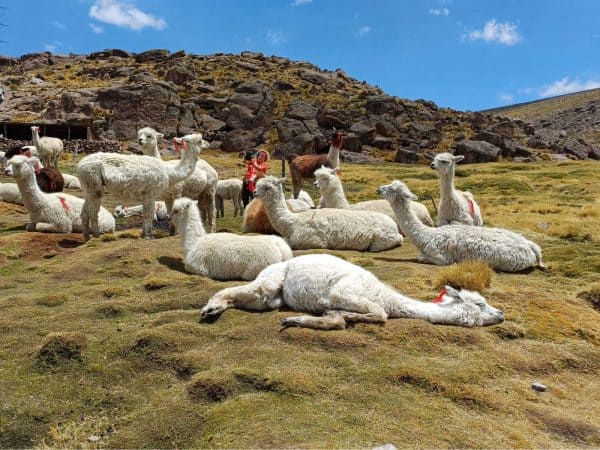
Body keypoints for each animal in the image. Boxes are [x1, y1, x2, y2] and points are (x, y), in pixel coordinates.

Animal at [78, 133, 206, 241]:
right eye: (199, 140)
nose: (206, 143)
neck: (170, 173)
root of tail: (80, 164)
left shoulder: (147, 195)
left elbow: (145, 214)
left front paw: (144, 234)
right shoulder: (150, 193)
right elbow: (149, 214)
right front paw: (149, 236)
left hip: (88, 187)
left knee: (84, 213)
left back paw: (86, 238)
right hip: (93, 182)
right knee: (93, 212)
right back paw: (97, 236)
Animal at [254, 176, 403, 252]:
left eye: (267, 187)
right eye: (257, 184)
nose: (254, 192)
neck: (292, 223)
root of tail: (393, 224)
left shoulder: (310, 240)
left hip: (383, 238)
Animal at [378, 180, 546, 272]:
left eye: (392, 188)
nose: (379, 189)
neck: (425, 235)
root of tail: (532, 248)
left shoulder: (441, 257)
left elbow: (422, 258)